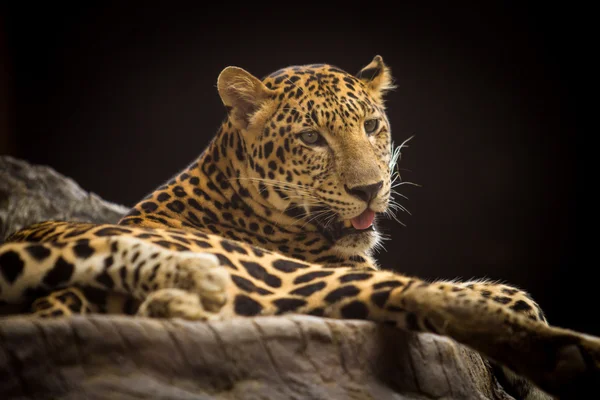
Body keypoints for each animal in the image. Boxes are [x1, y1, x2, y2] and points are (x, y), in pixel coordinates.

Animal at [1, 55, 600, 396]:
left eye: (371, 125)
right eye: (312, 138)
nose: (370, 189)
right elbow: (485, 289)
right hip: (268, 275)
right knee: (416, 293)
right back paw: (565, 356)